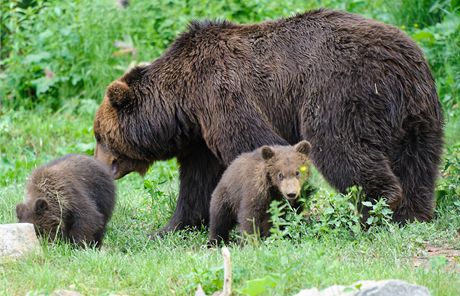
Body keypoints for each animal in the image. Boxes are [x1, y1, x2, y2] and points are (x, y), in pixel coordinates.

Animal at [93, 8, 442, 234]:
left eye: (99, 136)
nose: (97, 162)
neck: (183, 102)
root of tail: (400, 64)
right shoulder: (201, 137)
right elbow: (197, 183)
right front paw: (171, 227)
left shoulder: (223, 95)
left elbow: (256, 144)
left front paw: (281, 216)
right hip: (418, 113)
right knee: (418, 163)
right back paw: (410, 214)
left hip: (342, 91)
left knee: (341, 148)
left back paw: (371, 212)